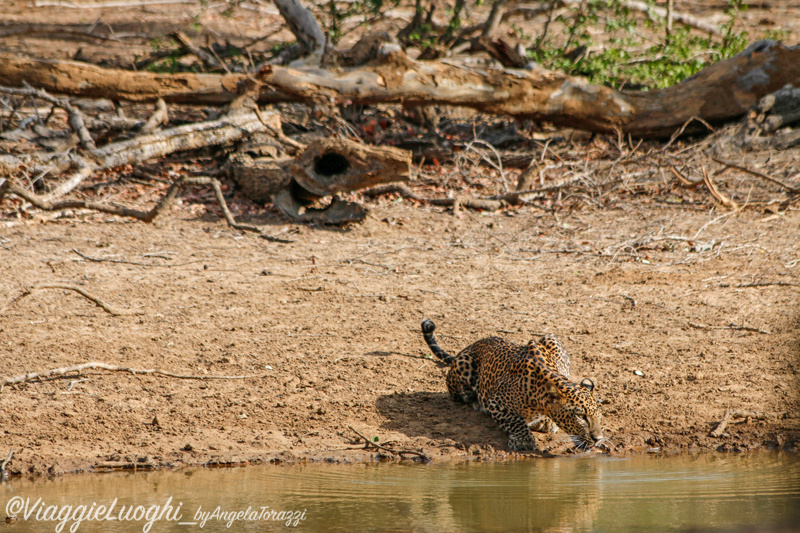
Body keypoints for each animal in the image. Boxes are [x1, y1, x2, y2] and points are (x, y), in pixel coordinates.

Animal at [422, 318, 604, 450]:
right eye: (581, 417)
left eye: (599, 416)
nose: (598, 439)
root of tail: (471, 345)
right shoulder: (495, 402)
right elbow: (514, 420)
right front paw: (524, 440)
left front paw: (545, 422)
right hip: (463, 364)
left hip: (550, 337)